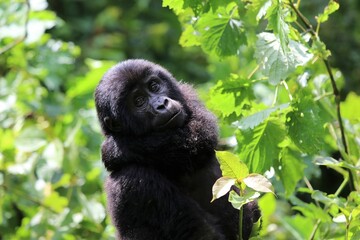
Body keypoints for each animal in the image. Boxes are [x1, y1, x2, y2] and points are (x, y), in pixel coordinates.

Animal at [94, 58, 260, 240]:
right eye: (138, 101)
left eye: (154, 86)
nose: (161, 104)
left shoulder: (186, 94)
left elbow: (199, 132)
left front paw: (115, 149)